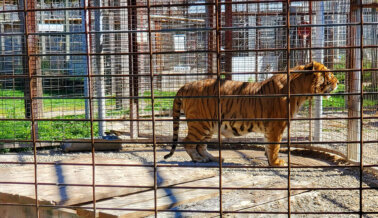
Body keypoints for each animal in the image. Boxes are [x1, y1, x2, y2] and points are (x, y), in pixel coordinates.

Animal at [164, 60, 338, 166]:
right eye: (329, 74)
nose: (338, 82)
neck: (300, 91)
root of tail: (185, 85)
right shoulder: (277, 125)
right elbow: (275, 145)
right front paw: (276, 163)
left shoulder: (271, 127)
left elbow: (268, 144)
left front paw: (270, 160)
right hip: (201, 123)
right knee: (187, 141)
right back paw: (199, 160)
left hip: (209, 126)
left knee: (201, 145)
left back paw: (212, 157)